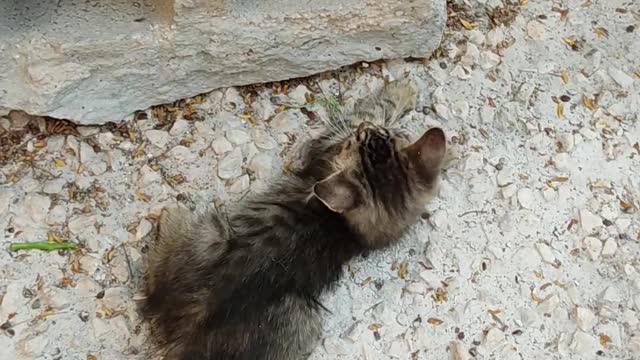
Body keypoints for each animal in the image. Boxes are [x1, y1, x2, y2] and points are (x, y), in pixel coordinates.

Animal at [143, 77, 448, 358]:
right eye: (376, 135)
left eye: (359, 138)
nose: (363, 129)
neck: (346, 227)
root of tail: (186, 328)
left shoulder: (326, 144)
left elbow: (372, 108)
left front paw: (399, 91)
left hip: (217, 236)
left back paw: (170, 214)